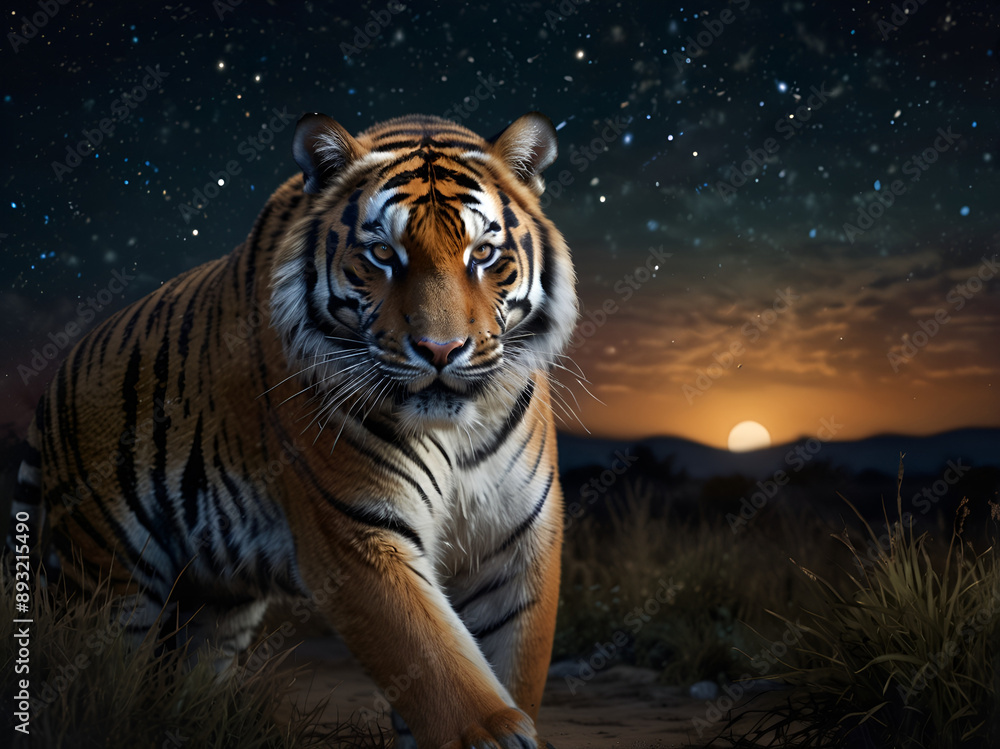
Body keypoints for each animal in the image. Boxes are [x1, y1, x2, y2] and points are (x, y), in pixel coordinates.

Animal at [6, 111, 578, 748]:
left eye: (483, 253)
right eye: (382, 253)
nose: (440, 350)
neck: (458, 434)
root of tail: (56, 379)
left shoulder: (516, 542)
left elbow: (511, 663)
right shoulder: (357, 535)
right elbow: (439, 666)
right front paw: (492, 733)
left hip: (213, 605)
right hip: (104, 586)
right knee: (93, 683)